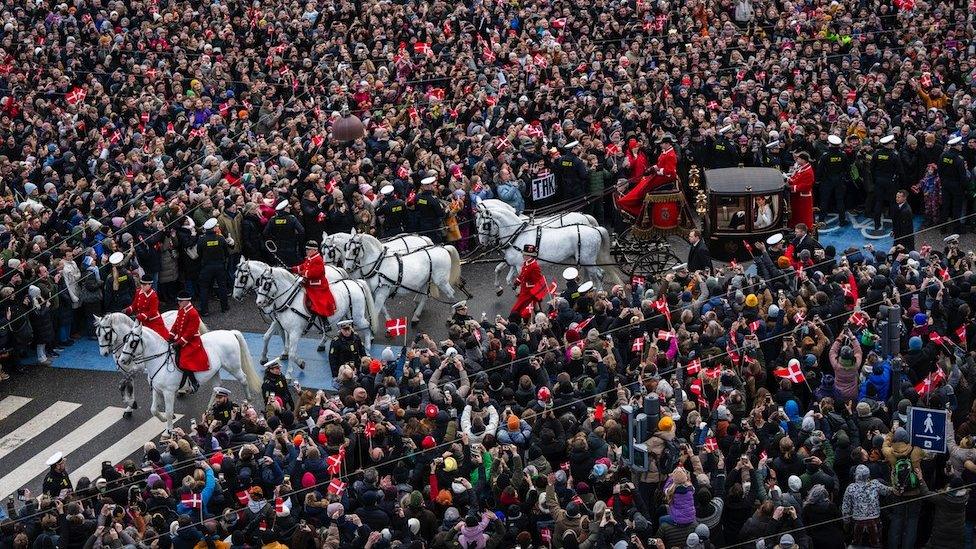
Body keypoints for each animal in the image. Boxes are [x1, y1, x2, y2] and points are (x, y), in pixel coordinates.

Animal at [95, 310, 262, 430]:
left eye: (133, 343)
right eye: (97, 334)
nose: (122, 359)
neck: (158, 359)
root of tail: (229, 332)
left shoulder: (167, 391)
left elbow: (168, 411)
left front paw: (169, 430)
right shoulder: (156, 388)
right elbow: (153, 409)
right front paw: (156, 416)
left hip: (233, 366)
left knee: (243, 379)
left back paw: (248, 400)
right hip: (215, 371)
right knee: (217, 388)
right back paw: (209, 408)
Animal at [476, 201, 612, 292]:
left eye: (485, 225)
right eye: (477, 223)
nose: (482, 243)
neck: (517, 235)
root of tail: (595, 229)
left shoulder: (520, 266)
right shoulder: (513, 264)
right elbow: (508, 278)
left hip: (587, 259)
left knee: (598, 274)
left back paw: (599, 293)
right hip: (582, 259)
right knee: (595, 273)